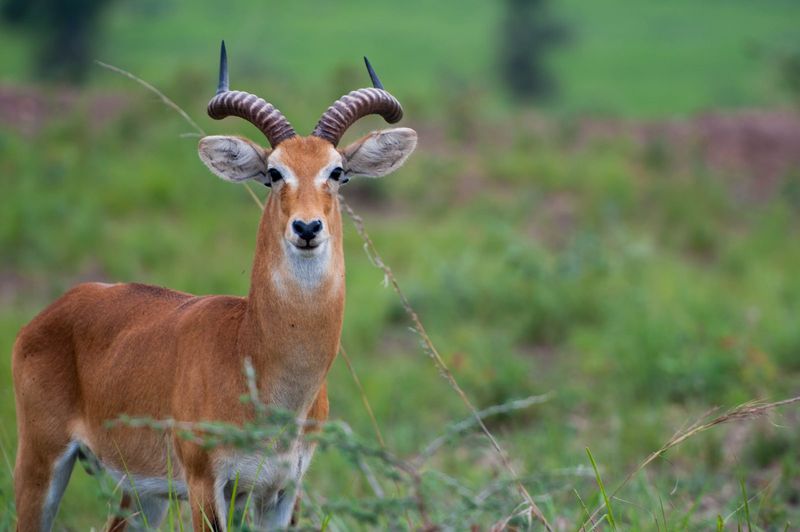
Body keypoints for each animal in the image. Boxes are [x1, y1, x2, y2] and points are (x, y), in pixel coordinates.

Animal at [12, 41, 416, 531]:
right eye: (274, 172)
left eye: (337, 171)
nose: (306, 227)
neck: (254, 353)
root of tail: (55, 308)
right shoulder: (207, 484)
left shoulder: (282, 493)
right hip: (41, 461)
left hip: (142, 495)